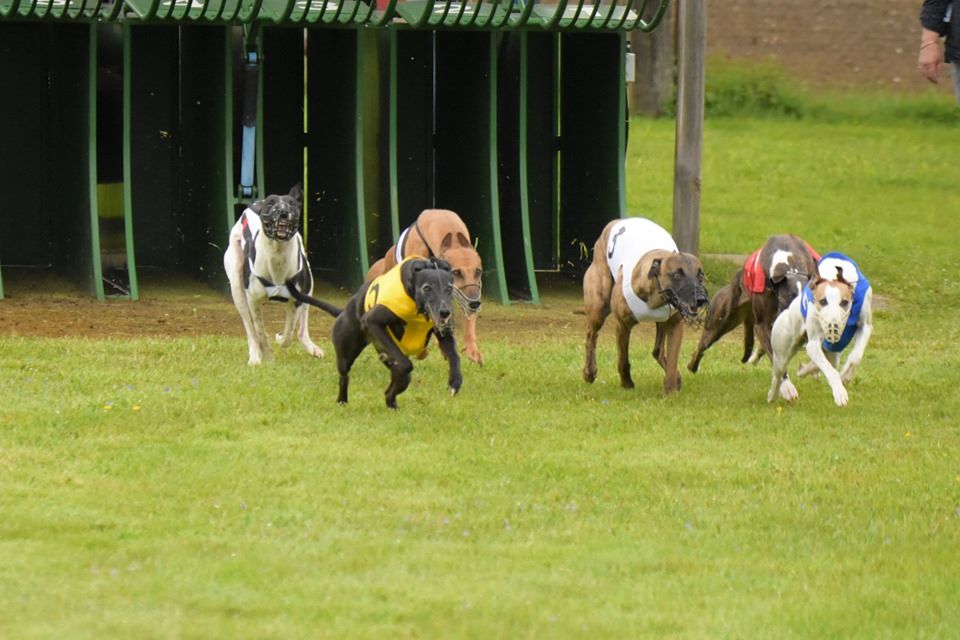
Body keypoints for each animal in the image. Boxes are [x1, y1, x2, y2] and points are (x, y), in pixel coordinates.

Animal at [286, 256, 464, 410]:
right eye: (427, 288)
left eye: (449, 288)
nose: (444, 312)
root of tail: (342, 312)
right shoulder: (372, 321)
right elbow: (406, 363)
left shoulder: (442, 331)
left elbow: (454, 355)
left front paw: (455, 381)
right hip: (345, 354)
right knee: (345, 376)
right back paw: (342, 400)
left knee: (391, 389)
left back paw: (392, 404)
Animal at [768, 252, 872, 408]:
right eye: (823, 301)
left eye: (845, 302)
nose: (833, 326)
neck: (833, 275)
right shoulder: (814, 343)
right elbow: (829, 370)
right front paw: (840, 392)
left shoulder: (865, 325)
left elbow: (855, 357)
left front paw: (845, 375)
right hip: (782, 351)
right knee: (778, 373)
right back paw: (773, 394)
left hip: (832, 352)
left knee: (826, 362)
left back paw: (804, 370)